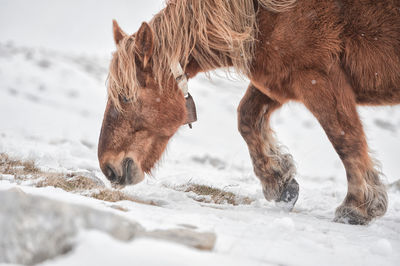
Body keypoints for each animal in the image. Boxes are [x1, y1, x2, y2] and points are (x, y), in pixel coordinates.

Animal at [97, 0, 400, 224]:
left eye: (125, 96)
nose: (109, 169)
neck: (268, 13)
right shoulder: (278, 83)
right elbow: (246, 118)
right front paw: (279, 182)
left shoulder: (318, 78)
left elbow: (345, 138)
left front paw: (358, 207)